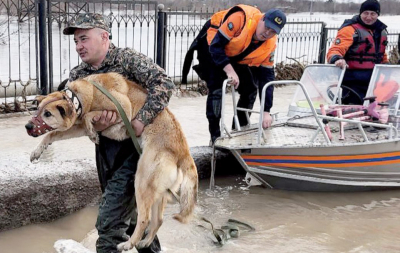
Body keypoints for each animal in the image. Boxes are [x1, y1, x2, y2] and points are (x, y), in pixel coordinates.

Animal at [25, 72, 198, 251]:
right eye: (38, 109)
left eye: (48, 114)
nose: (28, 126)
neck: (81, 96)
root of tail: (183, 152)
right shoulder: (77, 126)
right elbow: (53, 134)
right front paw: (37, 151)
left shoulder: (122, 109)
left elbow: (89, 117)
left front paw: (93, 133)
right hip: (158, 191)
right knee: (158, 220)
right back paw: (145, 242)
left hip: (142, 181)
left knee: (145, 219)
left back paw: (128, 244)